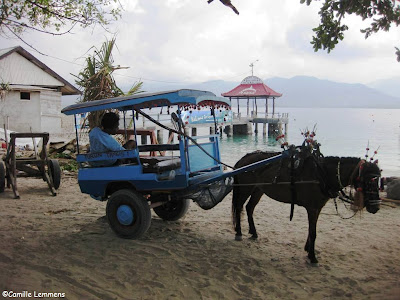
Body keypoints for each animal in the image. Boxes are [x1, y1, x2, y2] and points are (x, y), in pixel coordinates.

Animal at [231, 150, 382, 262]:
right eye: (369, 182)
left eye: (378, 181)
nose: (375, 207)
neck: (322, 175)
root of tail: (243, 160)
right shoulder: (312, 208)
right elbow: (313, 232)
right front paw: (312, 256)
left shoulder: (317, 208)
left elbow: (311, 230)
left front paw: (308, 248)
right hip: (245, 188)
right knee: (239, 207)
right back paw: (238, 232)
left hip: (258, 189)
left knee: (249, 208)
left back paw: (253, 232)